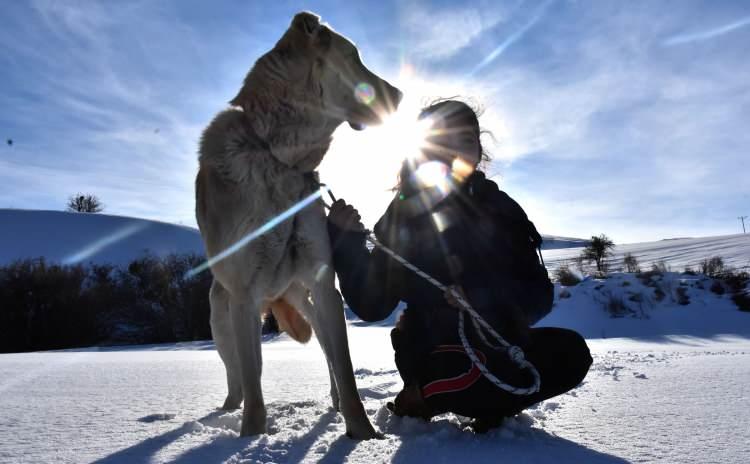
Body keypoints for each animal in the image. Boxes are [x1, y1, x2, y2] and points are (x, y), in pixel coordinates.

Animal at [197, 10, 402, 438]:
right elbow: (254, 383)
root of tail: (279, 295)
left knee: (328, 358)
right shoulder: (243, 297)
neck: (278, 158)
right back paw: (226, 413)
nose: (401, 94)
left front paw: (362, 434)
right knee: (240, 378)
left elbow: (346, 371)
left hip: (309, 302)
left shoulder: (325, 287)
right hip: (223, 318)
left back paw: (335, 405)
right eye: (354, 56)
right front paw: (250, 437)